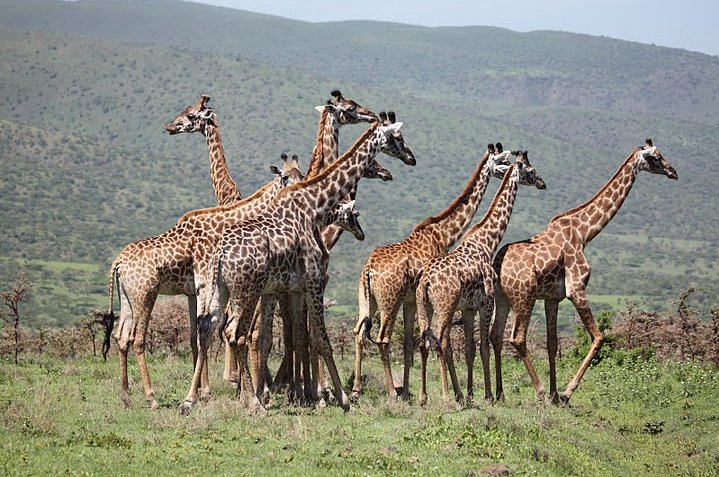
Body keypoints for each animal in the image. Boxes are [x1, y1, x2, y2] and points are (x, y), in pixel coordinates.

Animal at [102, 154, 302, 408]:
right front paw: (206, 393)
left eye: (302, 174)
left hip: (127, 298)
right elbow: (206, 333)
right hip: (145, 294)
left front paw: (203, 392)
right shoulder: (204, 285)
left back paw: (126, 395)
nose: (297, 192)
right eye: (284, 177)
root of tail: (118, 263)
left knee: (121, 337)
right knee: (137, 338)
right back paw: (151, 397)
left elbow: (196, 336)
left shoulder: (192, 292)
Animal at [180, 119, 416, 412]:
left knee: (208, 327)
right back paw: (254, 402)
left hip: (220, 289)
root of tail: (221, 254)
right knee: (236, 333)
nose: (411, 158)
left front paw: (309, 394)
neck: (314, 205)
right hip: (247, 290)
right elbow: (321, 340)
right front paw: (341, 398)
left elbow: (299, 337)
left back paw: (191, 400)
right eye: (398, 137)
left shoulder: (292, 287)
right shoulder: (313, 280)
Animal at [352, 144, 520, 398]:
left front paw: (410, 391)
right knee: (383, 338)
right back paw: (391, 391)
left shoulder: (412, 301)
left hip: (367, 298)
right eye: (502, 162)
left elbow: (411, 344)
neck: (444, 234)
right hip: (390, 300)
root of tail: (369, 269)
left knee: (359, 333)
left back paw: (356, 388)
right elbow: (437, 342)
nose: (510, 171)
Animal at [416, 151, 544, 404]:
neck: (487, 241)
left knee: (424, 343)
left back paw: (424, 397)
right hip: (445, 306)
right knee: (440, 341)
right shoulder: (487, 302)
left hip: (424, 306)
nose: (542, 183)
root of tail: (426, 280)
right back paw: (447, 396)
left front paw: (470, 393)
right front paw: (488, 395)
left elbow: (469, 349)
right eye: (531, 170)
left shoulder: (467, 308)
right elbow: (484, 345)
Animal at [492, 139, 676, 404]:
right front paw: (566, 392)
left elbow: (552, 343)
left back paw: (499, 394)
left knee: (495, 336)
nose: (674, 173)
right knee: (516, 338)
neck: (584, 233)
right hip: (523, 296)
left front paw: (555, 395)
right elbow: (599, 338)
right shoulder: (577, 289)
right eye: (657, 158)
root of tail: (497, 264)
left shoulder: (552, 298)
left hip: (502, 297)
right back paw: (538, 391)